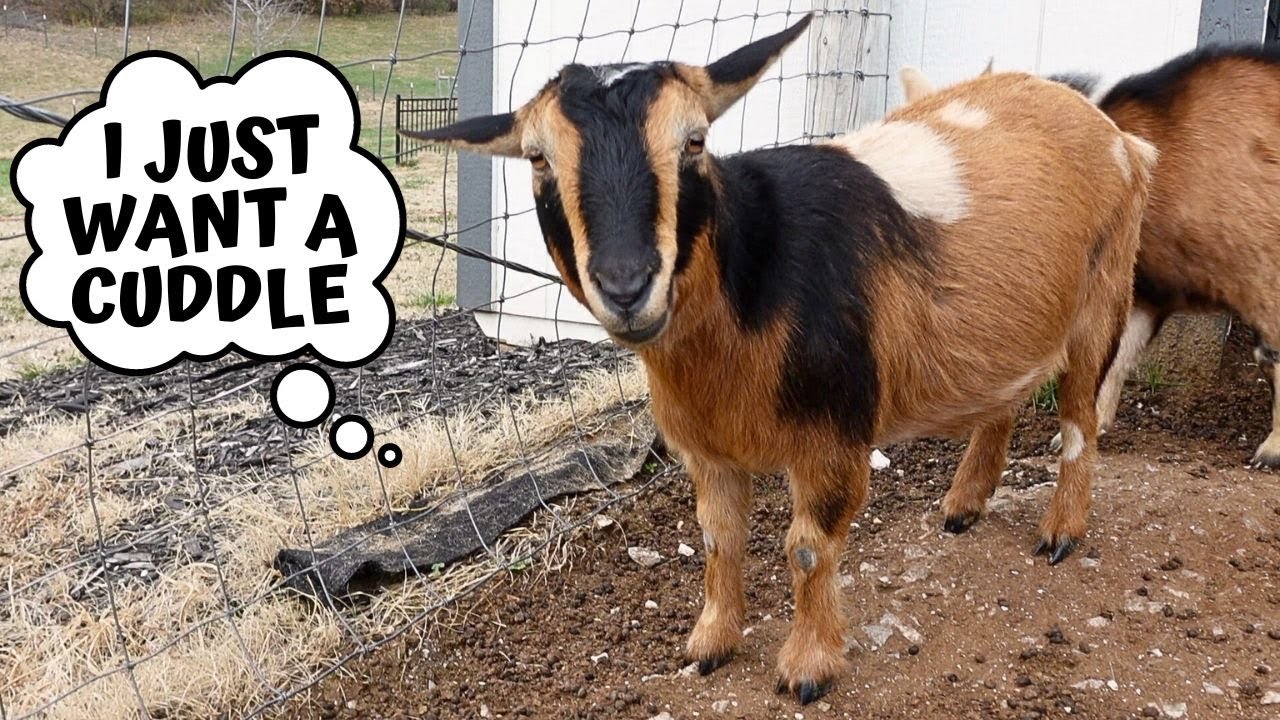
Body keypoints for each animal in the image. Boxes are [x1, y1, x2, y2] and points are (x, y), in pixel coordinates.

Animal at [404, 15, 1154, 705]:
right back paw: (964, 504)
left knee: (1081, 418)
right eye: (536, 159)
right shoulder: (705, 448)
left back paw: (1061, 532)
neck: (750, 281)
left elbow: (807, 545)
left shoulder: (834, 433)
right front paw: (709, 643)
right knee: (1006, 395)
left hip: (1105, 292)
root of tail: (1111, 131)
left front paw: (808, 667)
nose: (625, 285)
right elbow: (718, 537)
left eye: (696, 141)